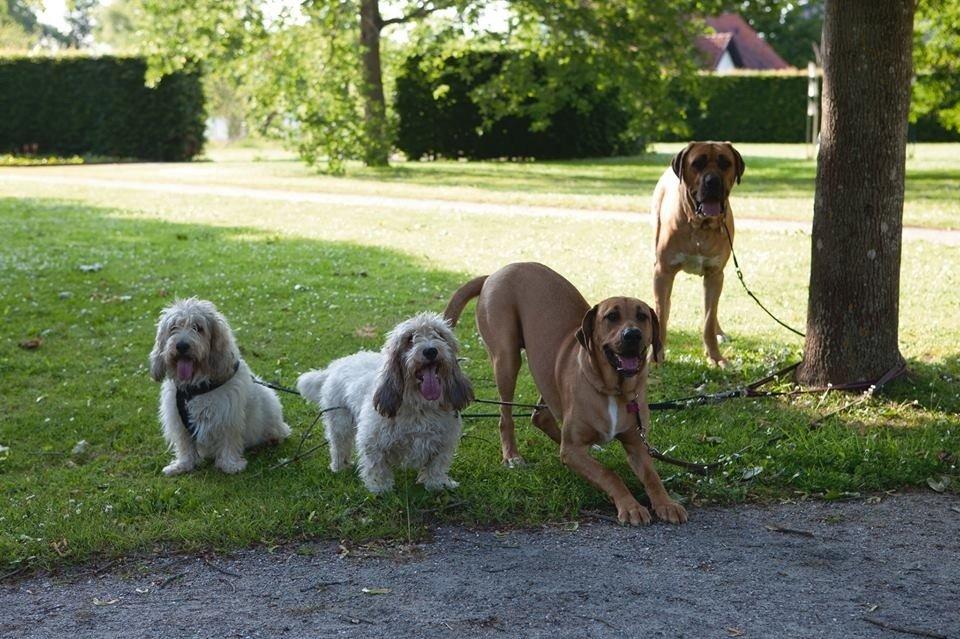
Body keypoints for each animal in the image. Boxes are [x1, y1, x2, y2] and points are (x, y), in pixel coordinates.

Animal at [148, 300, 290, 476]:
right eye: (173, 327)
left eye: (198, 327)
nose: (181, 346)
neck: (195, 388)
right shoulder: (178, 420)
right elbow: (185, 445)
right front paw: (182, 465)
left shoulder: (228, 417)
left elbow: (229, 441)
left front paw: (230, 465)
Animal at [294, 312, 470, 492]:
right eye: (409, 339)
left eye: (439, 335)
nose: (430, 351)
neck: (419, 406)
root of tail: (335, 365)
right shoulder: (372, 441)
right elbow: (377, 467)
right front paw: (381, 488)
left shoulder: (444, 442)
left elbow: (436, 466)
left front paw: (437, 484)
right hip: (339, 422)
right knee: (338, 446)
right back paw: (339, 466)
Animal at [446, 262, 688, 528]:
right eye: (611, 317)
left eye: (642, 316)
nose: (632, 335)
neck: (613, 390)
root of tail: (495, 273)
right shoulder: (571, 451)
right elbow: (609, 474)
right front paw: (631, 506)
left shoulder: (637, 444)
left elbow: (652, 476)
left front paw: (666, 503)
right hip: (506, 358)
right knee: (505, 416)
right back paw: (512, 456)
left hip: (546, 374)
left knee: (541, 416)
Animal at [648, 142, 748, 368]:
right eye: (697, 163)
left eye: (725, 163)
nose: (712, 181)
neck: (700, 227)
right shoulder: (663, 271)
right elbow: (661, 312)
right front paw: (656, 357)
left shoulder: (715, 274)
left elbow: (709, 319)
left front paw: (716, 357)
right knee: (664, 305)